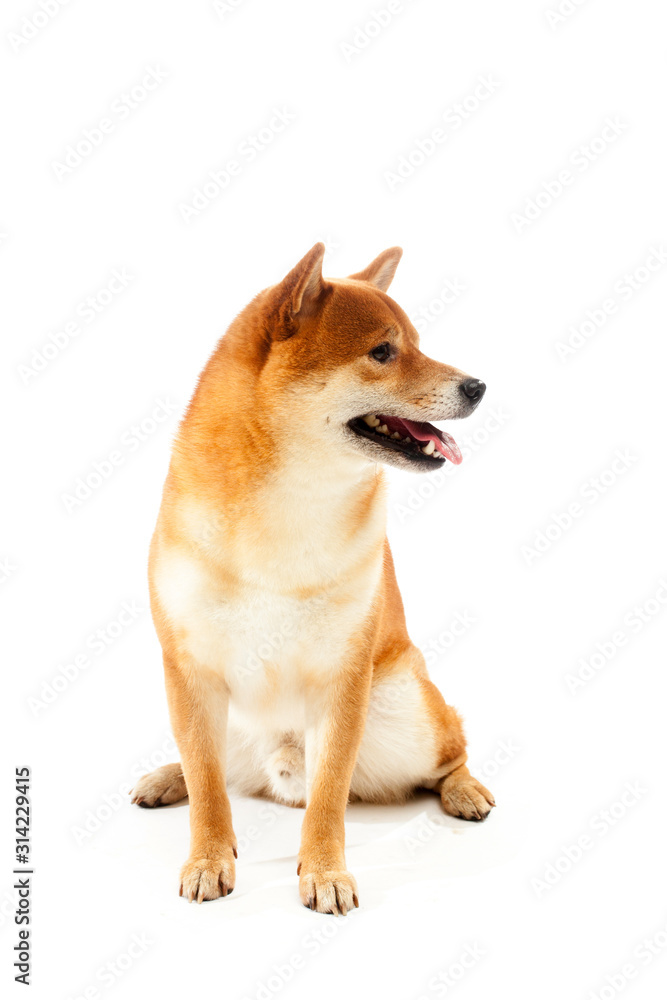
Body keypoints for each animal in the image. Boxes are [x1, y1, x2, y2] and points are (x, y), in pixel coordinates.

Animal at [132, 244, 496, 916]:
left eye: (418, 344)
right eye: (384, 352)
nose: (478, 386)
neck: (286, 507)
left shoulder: (340, 676)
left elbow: (329, 797)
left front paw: (325, 871)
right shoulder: (188, 668)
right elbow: (208, 789)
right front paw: (208, 857)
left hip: (410, 713)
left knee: (451, 748)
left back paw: (465, 789)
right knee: (210, 769)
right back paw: (168, 777)